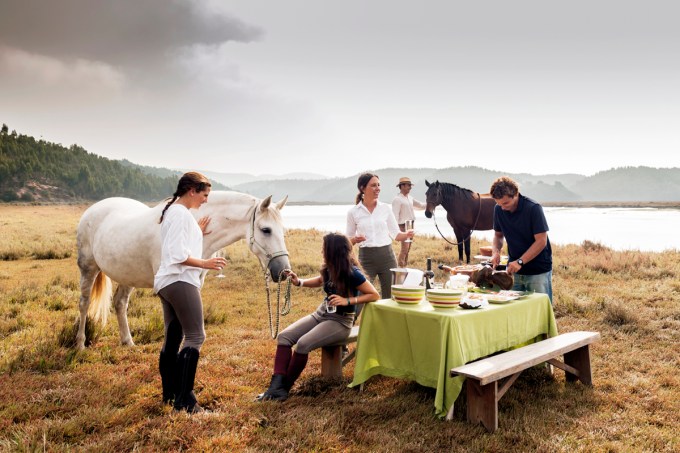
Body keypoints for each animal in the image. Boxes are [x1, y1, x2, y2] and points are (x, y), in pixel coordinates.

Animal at [75, 191, 290, 350]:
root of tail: (94, 209)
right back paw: (80, 344)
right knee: (84, 303)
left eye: (283, 230)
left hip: (128, 275)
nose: (284, 271)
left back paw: (127, 342)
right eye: (266, 230)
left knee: (120, 303)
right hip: (88, 268)